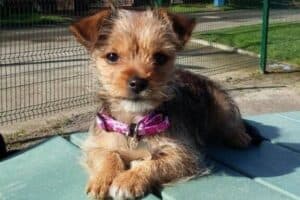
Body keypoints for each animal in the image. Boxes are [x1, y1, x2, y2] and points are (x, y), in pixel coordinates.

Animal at [69, 7, 258, 199]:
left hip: (222, 104)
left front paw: (129, 179)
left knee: (232, 122)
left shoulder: (185, 155)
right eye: (112, 56)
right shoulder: (95, 145)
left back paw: (239, 136)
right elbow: (107, 156)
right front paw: (103, 179)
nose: (138, 82)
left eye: (160, 57)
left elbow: (154, 163)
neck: (134, 124)